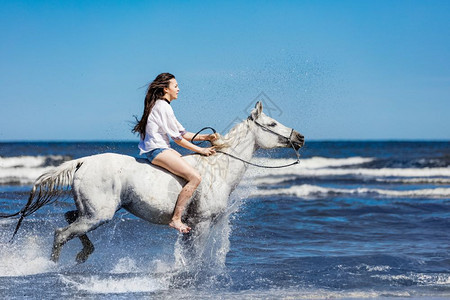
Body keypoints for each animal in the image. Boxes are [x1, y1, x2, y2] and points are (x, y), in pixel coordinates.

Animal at [5, 102, 304, 264]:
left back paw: (84, 254)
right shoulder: (201, 225)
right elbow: (194, 260)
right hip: (99, 214)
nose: (300, 137)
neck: (218, 170)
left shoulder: (192, 229)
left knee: (69, 220)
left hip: (90, 212)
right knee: (61, 233)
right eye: (272, 123)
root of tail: (83, 162)